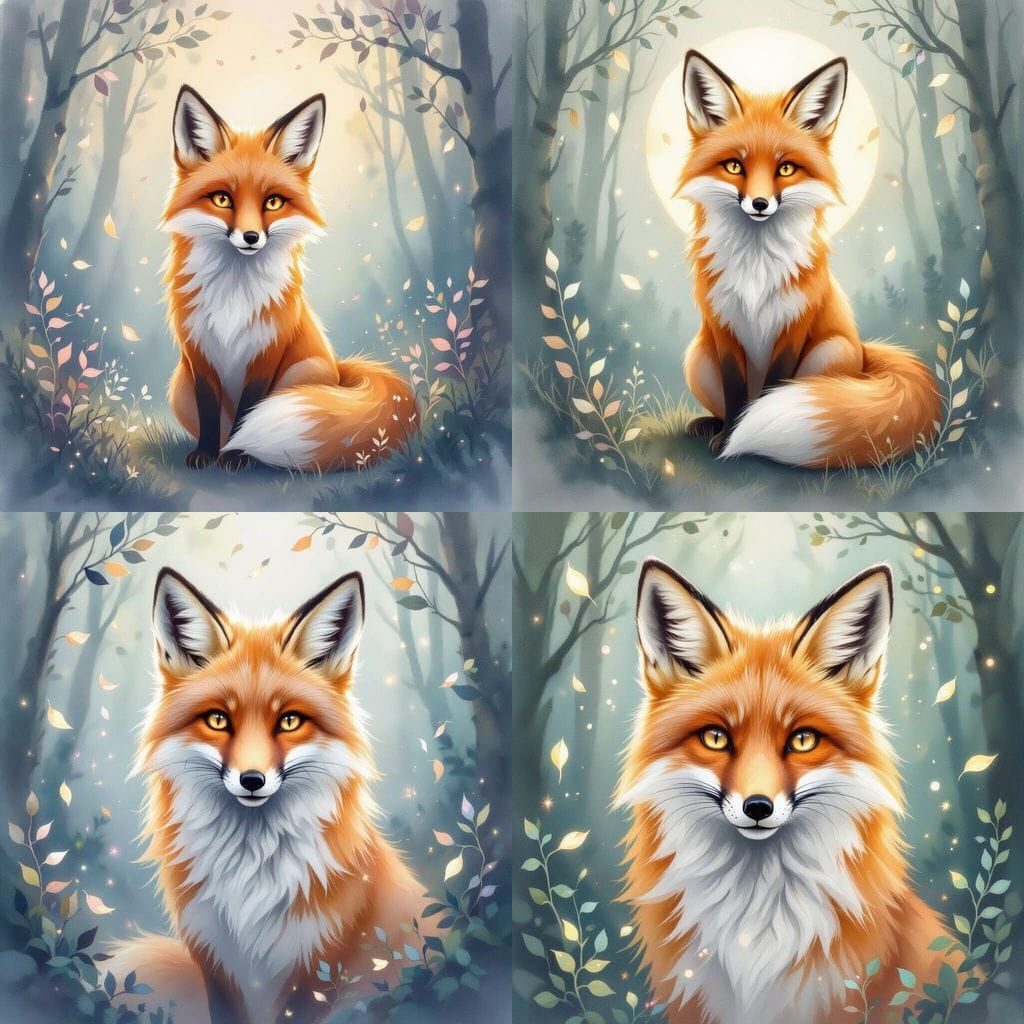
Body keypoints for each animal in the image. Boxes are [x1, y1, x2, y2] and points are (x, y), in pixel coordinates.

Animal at [108, 568, 429, 1024]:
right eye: (218, 720)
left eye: (290, 721)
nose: (252, 780)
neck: (251, 872)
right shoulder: (216, 961)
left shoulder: (317, 968)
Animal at [163, 86, 417, 471]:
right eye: (222, 199)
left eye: (272, 202)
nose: (251, 237)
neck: (234, 293)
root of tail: (339, 368)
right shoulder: (198, 354)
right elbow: (209, 411)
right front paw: (206, 453)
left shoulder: (267, 352)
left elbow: (249, 409)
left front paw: (236, 456)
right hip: (180, 386)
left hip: (300, 375)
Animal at [676, 50, 939, 468]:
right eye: (735, 166)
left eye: (785, 168)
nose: (760, 203)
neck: (756, 265)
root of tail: (864, 351)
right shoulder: (723, 326)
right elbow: (735, 394)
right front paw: (729, 434)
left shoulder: (794, 324)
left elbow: (774, 385)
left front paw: (744, 435)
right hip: (697, 357)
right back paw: (710, 425)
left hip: (829, 352)